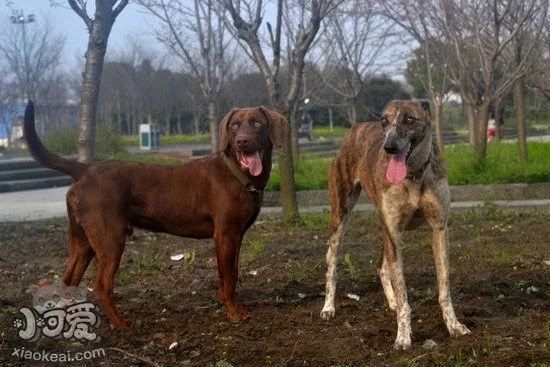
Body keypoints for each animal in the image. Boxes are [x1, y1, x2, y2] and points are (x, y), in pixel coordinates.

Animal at [23, 102, 286, 330]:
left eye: (257, 123)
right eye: (234, 126)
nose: (242, 142)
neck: (240, 175)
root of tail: (86, 169)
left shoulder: (237, 236)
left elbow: (233, 274)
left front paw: (237, 308)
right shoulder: (225, 235)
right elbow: (228, 279)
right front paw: (234, 313)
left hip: (83, 241)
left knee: (69, 281)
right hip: (110, 240)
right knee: (101, 287)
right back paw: (120, 324)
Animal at [322, 99, 472, 350]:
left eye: (409, 119)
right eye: (384, 120)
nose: (389, 147)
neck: (413, 176)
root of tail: (354, 129)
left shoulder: (439, 229)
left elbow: (443, 288)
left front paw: (454, 326)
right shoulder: (393, 232)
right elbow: (404, 294)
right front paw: (403, 336)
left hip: (385, 230)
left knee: (381, 265)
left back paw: (390, 301)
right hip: (341, 218)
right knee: (332, 264)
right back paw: (328, 307)